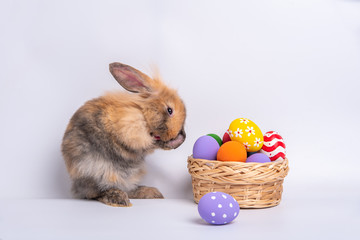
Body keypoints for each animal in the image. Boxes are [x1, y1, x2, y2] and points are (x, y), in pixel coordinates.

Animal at [61, 62, 186, 207]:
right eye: (170, 110)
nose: (183, 136)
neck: (143, 113)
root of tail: (76, 188)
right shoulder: (130, 132)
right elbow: (146, 143)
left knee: (127, 188)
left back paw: (151, 192)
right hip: (94, 173)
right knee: (95, 194)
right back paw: (119, 199)